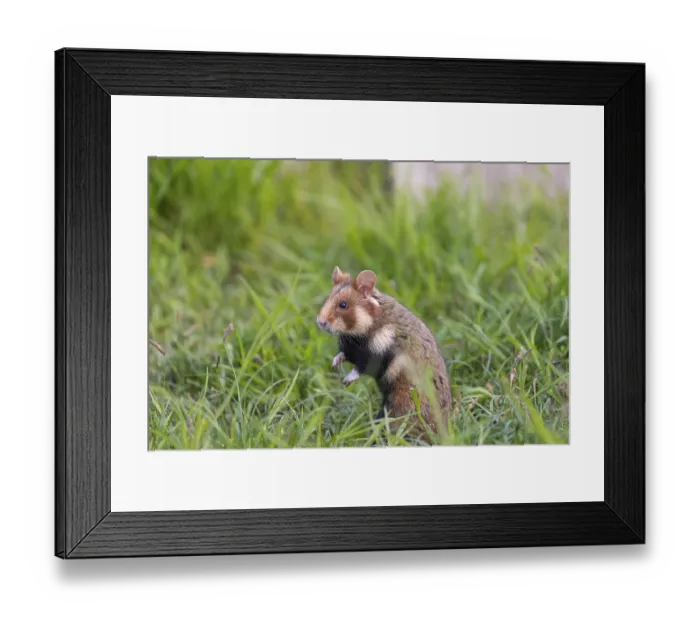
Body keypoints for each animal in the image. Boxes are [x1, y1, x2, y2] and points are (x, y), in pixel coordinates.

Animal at [316, 266, 453, 435]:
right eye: (326, 299)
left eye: (343, 305)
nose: (320, 322)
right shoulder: (350, 348)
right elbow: (342, 354)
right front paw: (335, 364)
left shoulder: (379, 354)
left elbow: (360, 368)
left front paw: (346, 380)